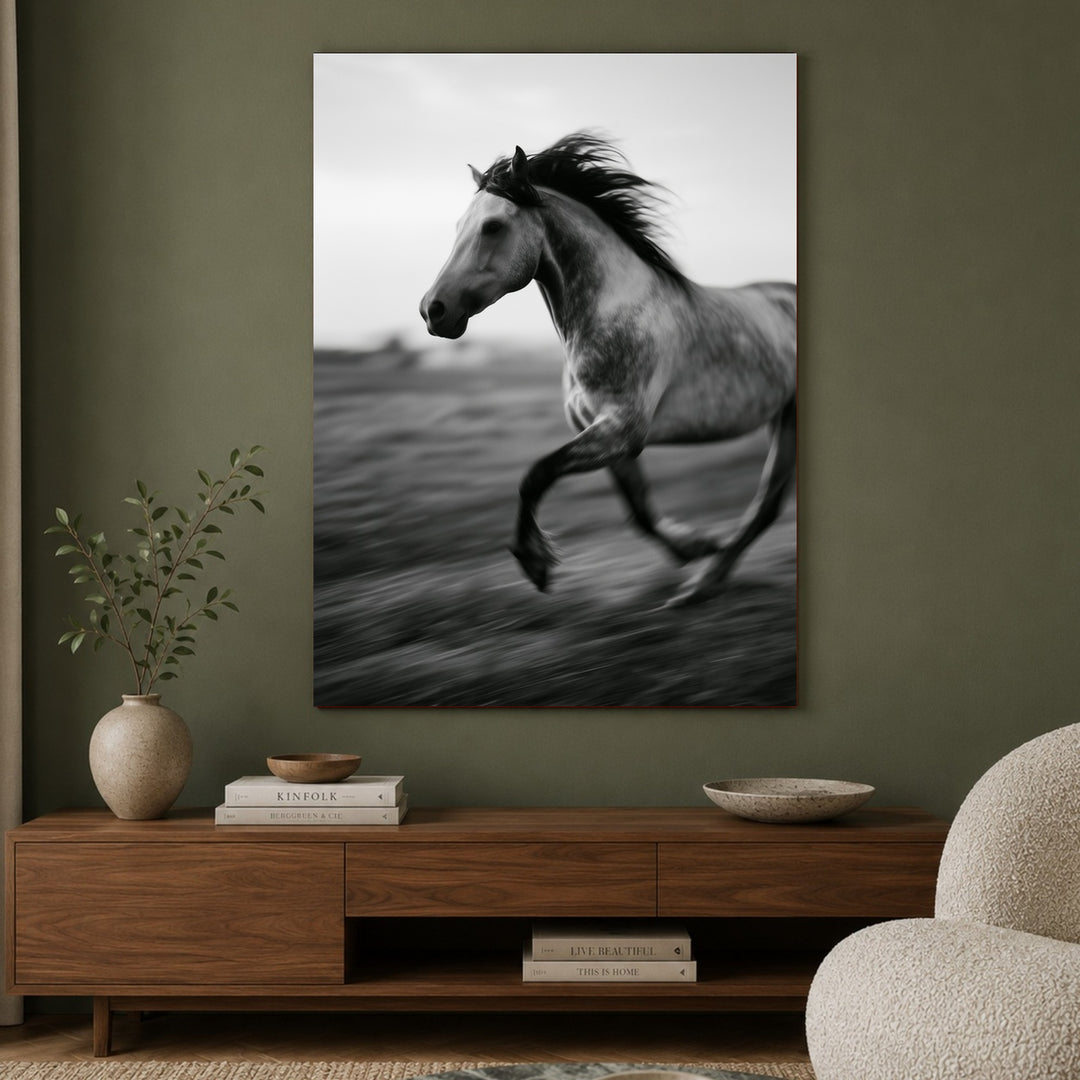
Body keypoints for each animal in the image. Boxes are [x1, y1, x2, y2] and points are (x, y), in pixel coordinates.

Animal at [419, 132, 796, 606]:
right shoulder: (605, 435)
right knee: (767, 506)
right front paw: (695, 545)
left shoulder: (621, 429)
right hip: (781, 417)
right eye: (458, 228)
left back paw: (700, 585)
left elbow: (535, 475)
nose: (433, 311)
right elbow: (639, 510)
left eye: (493, 227)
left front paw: (535, 563)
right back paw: (703, 581)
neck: (612, 313)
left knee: (766, 505)